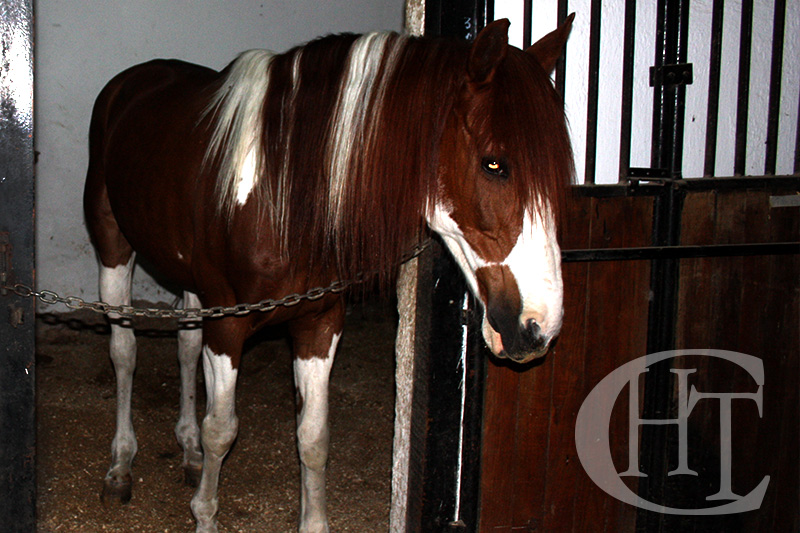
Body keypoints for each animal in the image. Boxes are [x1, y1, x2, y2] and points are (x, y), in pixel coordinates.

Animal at [83, 16, 574, 533]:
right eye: (493, 163)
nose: (537, 328)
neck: (282, 192)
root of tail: (129, 83)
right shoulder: (229, 325)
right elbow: (221, 429)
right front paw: (205, 515)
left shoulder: (319, 324)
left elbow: (314, 437)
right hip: (114, 250)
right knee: (124, 354)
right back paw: (120, 467)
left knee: (185, 347)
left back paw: (189, 453)